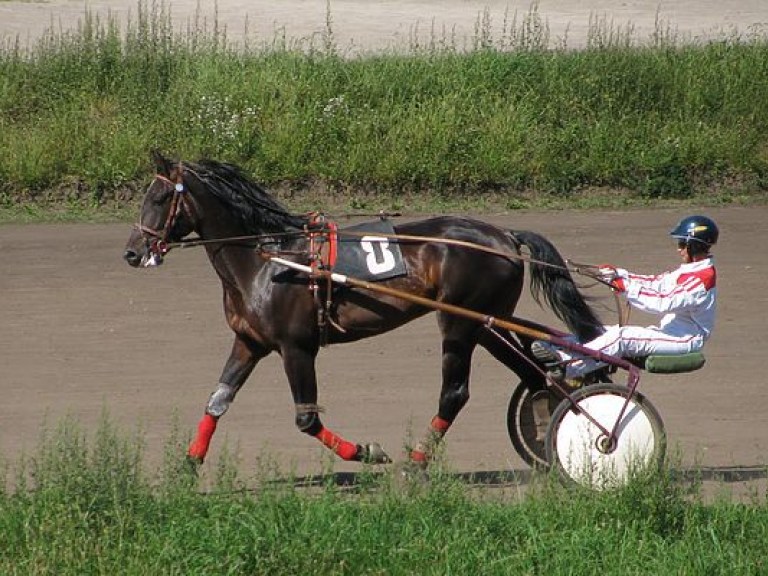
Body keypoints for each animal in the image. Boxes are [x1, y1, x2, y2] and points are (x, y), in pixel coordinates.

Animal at [123, 152, 604, 468]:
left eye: (160, 198)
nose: (132, 252)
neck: (271, 260)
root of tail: (505, 235)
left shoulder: (296, 347)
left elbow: (305, 418)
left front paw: (366, 452)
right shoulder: (249, 342)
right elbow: (218, 401)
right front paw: (188, 463)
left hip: (459, 324)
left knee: (457, 391)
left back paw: (417, 459)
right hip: (484, 324)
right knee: (536, 376)